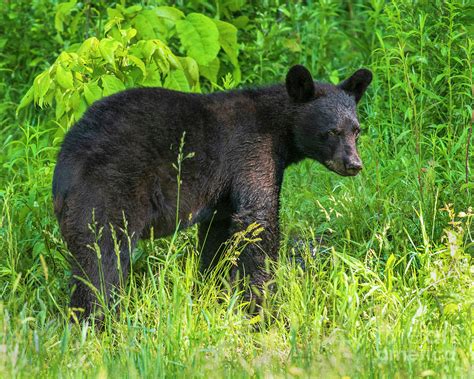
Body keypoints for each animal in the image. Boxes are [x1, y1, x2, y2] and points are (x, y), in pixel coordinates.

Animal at [51, 64, 370, 318]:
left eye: (356, 130)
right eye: (331, 132)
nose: (354, 164)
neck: (279, 128)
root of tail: (63, 170)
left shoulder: (221, 197)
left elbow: (216, 239)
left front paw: (213, 292)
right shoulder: (251, 151)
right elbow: (258, 219)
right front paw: (263, 306)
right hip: (109, 192)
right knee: (102, 259)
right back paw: (99, 319)